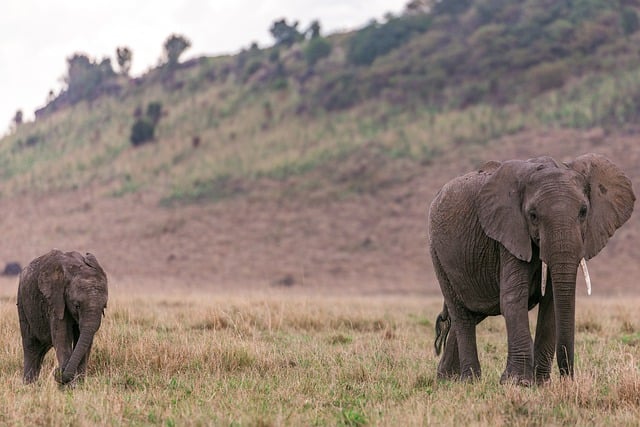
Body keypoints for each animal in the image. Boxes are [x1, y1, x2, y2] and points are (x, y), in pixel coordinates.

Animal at [16, 249, 107, 386]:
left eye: (104, 307)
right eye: (77, 306)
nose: (57, 372)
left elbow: (85, 339)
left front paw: (79, 385)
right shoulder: (56, 301)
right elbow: (62, 336)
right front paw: (70, 386)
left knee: (41, 349)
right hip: (22, 300)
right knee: (31, 345)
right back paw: (28, 385)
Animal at [430, 155, 636, 386]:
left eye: (584, 212)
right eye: (533, 215)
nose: (568, 378)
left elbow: (552, 302)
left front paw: (540, 384)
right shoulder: (509, 233)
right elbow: (512, 298)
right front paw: (517, 383)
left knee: (473, 313)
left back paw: (447, 379)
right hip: (437, 253)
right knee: (462, 315)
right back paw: (469, 380)